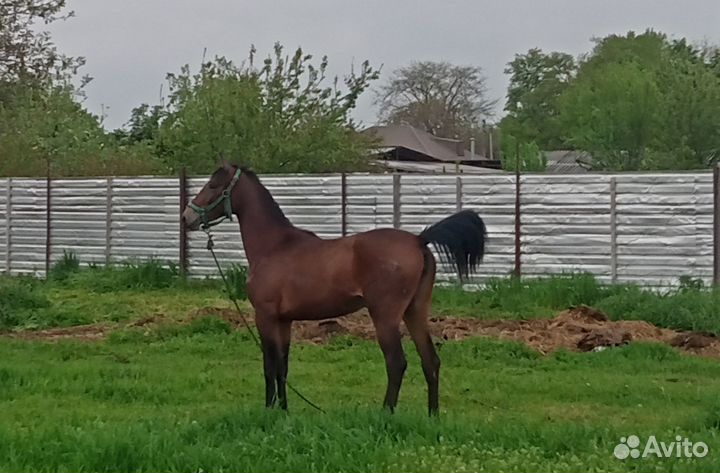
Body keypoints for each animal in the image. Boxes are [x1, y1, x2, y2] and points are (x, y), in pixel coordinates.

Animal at [182, 162, 487, 415]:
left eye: (213, 185)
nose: (186, 217)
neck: (274, 246)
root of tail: (418, 240)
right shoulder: (284, 321)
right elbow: (282, 367)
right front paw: (283, 410)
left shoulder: (265, 317)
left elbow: (269, 366)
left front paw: (269, 410)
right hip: (415, 311)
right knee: (430, 361)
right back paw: (432, 416)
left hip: (385, 316)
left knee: (396, 362)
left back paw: (386, 413)